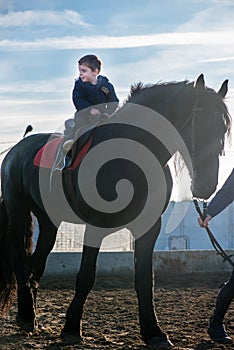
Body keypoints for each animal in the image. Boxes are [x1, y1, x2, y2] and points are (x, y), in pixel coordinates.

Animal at [0, 74, 231, 348]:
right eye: (202, 126)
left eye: (223, 130)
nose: (207, 187)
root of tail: (16, 149)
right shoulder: (95, 224)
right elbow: (86, 276)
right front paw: (71, 328)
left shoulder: (148, 228)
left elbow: (145, 280)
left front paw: (154, 332)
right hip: (18, 212)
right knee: (18, 261)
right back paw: (26, 316)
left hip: (49, 223)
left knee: (34, 265)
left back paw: (30, 317)